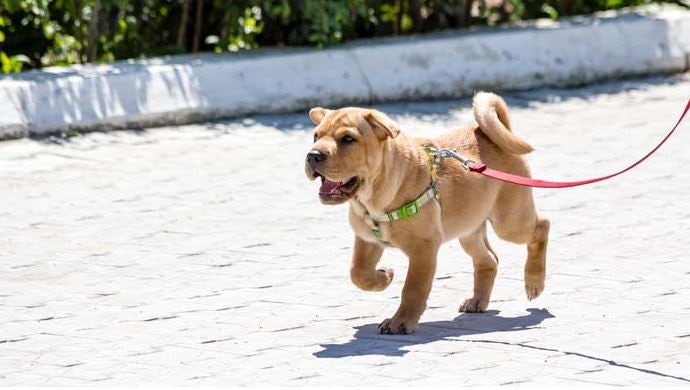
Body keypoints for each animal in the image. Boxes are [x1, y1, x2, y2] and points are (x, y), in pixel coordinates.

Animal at [304, 92, 552, 336]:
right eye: (315, 136)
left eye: (348, 139)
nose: (312, 155)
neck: (373, 196)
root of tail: (490, 132)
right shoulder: (367, 240)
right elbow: (358, 272)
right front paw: (384, 277)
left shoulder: (423, 248)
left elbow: (413, 289)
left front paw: (400, 322)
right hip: (469, 229)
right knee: (489, 260)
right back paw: (477, 302)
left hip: (509, 222)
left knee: (542, 225)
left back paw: (534, 282)